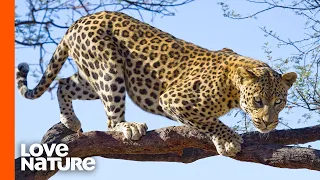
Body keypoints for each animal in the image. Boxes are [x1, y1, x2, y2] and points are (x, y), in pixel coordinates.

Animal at [15, 10, 298, 156]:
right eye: (257, 100)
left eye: (279, 102)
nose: (268, 123)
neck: (232, 87)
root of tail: (77, 22)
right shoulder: (173, 99)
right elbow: (210, 121)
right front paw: (227, 140)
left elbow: (207, 121)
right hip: (109, 69)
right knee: (111, 120)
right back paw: (128, 126)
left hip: (92, 76)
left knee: (63, 83)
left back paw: (70, 120)